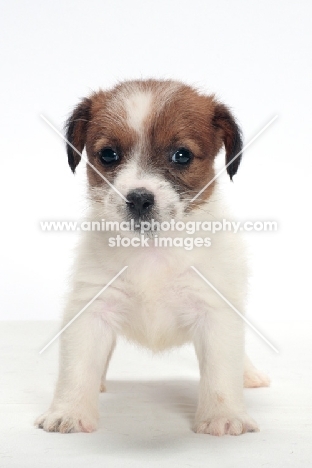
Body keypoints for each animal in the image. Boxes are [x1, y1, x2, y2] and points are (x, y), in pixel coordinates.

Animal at [35, 79, 270, 436]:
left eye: (181, 155)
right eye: (108, 155)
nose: (139, 199)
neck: (152, 251)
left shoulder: (215, 312)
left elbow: (220, 372)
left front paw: (225, 415)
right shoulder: (92, 308)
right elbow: (77, 367)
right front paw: (69, 411)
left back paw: (248, 374)